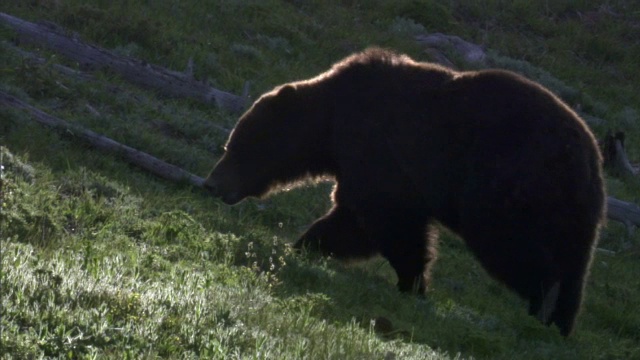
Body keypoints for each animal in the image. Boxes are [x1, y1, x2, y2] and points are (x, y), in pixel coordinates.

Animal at [205, 47, 604, 338]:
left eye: (235, 147)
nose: (211, 183)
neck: (331, 123)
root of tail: (590, 156)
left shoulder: (381, 152)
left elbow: (388, 223)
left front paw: (412, 284)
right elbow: (352, 222)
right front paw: (303, 245)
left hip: (512, 187)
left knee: (516, 249)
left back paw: (544, 301)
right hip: (576, 215)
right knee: (574, 270)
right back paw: (559, 323)